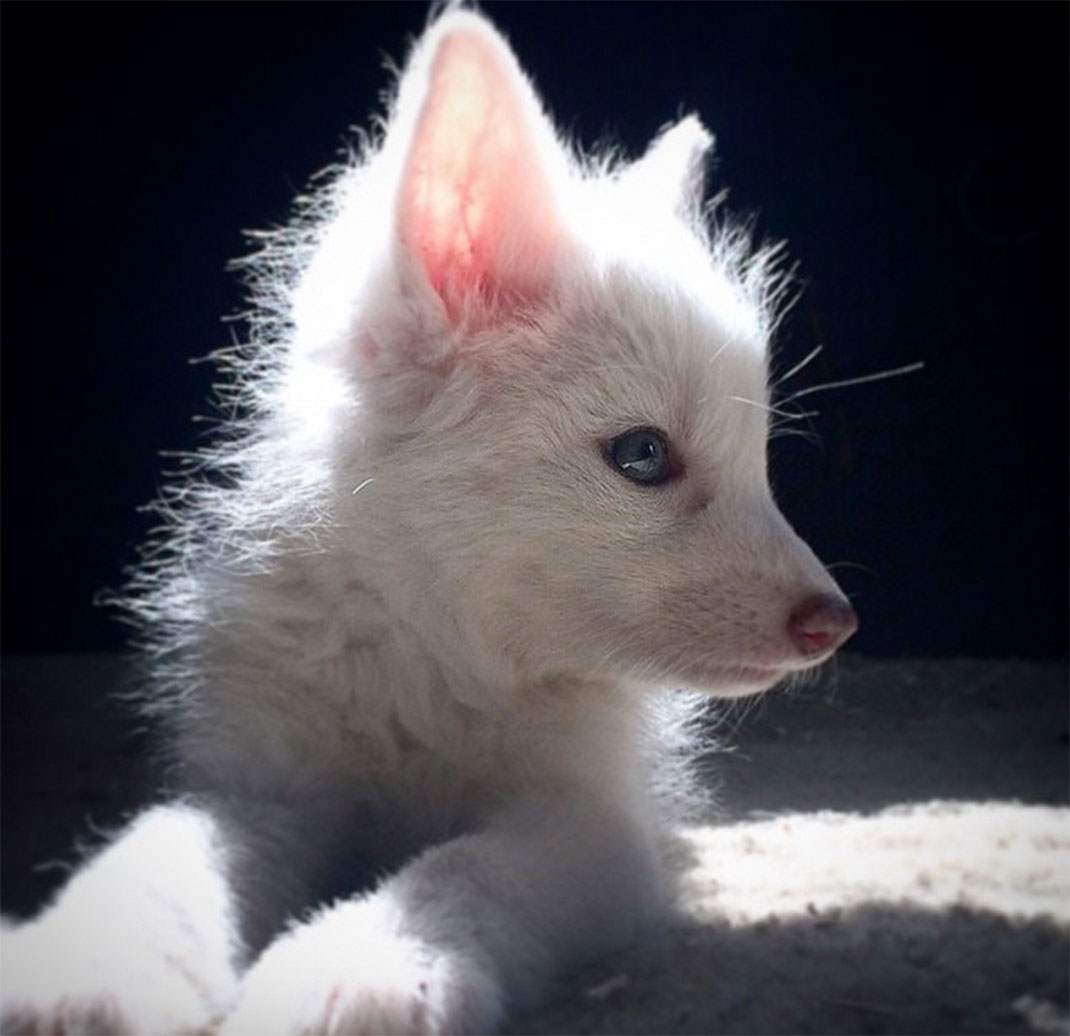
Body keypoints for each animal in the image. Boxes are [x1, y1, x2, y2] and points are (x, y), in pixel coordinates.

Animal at [1, 7, 857, 1035]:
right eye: (644, 455)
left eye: (757, 457)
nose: (835, 622)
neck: (440, 644)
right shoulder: (260, 785)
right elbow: (163, 847)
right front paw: (89, 959)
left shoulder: (590, 824)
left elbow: (466, 870)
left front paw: (365, 959)